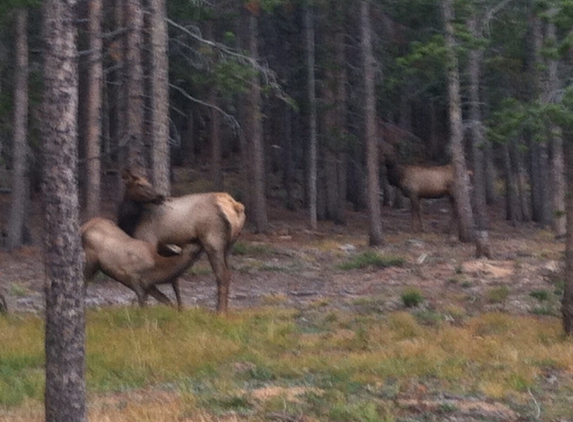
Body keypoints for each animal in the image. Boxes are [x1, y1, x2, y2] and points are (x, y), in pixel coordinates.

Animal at [118, 168, 246, 314]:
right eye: (139, 184)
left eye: (147, 183)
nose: (160, 196)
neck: (131, 222)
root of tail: (236, 207)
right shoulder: (165, 248)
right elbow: (175, 279)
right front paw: (180, 308)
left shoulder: (149, 240)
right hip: (229, 245)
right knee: (229, 273)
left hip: (213, 242)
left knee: (222, 275)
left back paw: (220, 312)